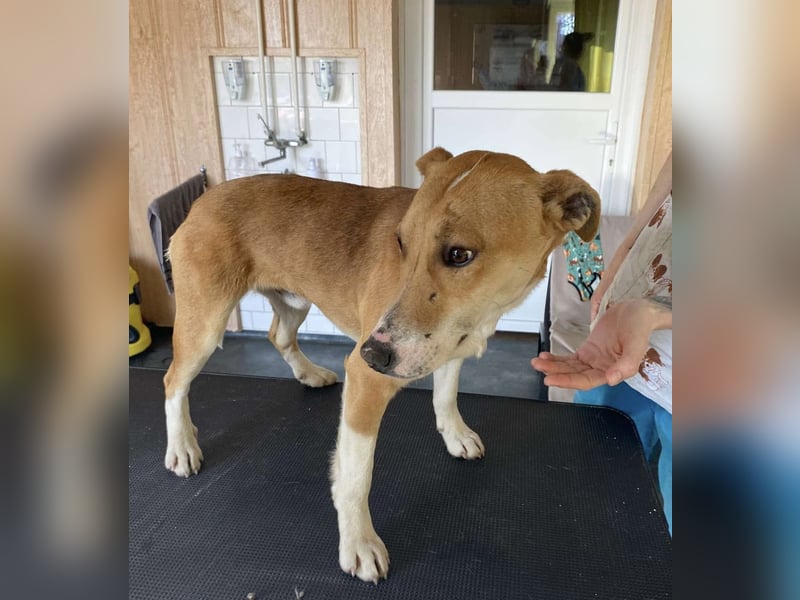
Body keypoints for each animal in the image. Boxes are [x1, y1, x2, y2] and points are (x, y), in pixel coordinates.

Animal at [163, 147, 600, 583]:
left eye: (459, 254)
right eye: (401, 243)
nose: (374, 355)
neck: (479, 317)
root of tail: (203, 198)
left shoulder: (449, 347)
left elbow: (445, 397)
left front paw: (455, 435)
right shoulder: (366, 380)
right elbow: (356, 476)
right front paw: (358, 543)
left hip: (294, 302)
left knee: (279, 337)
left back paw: (309, 373)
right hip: (205, 322)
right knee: (173, 380)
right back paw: (182, 445)